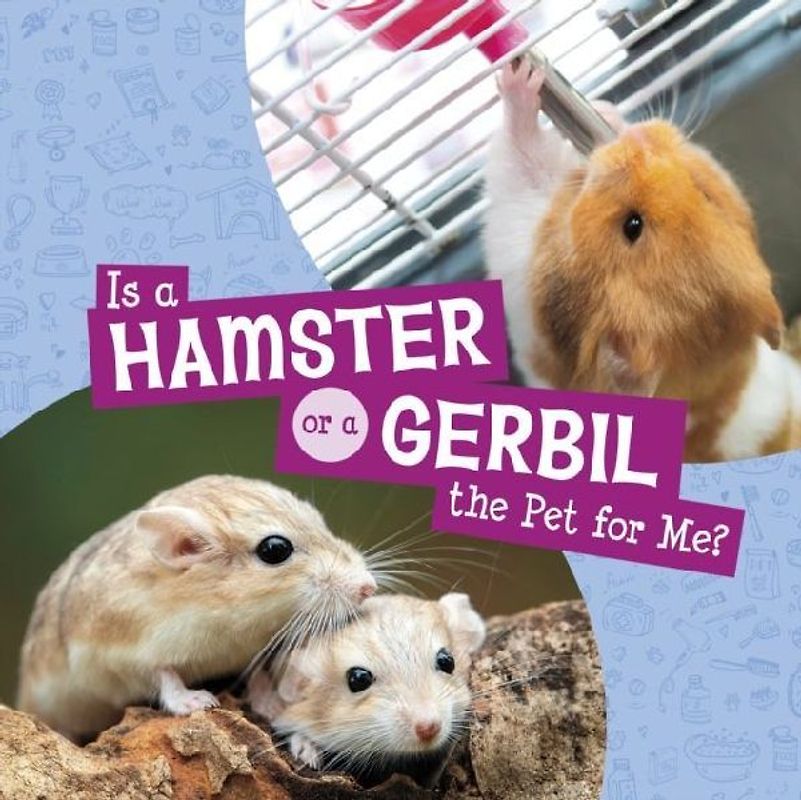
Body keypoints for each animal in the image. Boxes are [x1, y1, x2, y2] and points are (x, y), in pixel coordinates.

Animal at [17, 474, 377, 741]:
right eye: (275, 549)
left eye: (319, 521)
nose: (368, 588)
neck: (224, 612)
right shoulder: (123, 653)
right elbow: (164, 674)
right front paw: (198, 701)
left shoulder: (251, 648)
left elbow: (256, 672)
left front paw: (272, 705)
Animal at [484, 62, 801, 462]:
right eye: (705, 193)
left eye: (632, 225)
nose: (640, 139)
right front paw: (604, 112)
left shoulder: (524, 267)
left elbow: (521, 164)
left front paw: (522, 81)